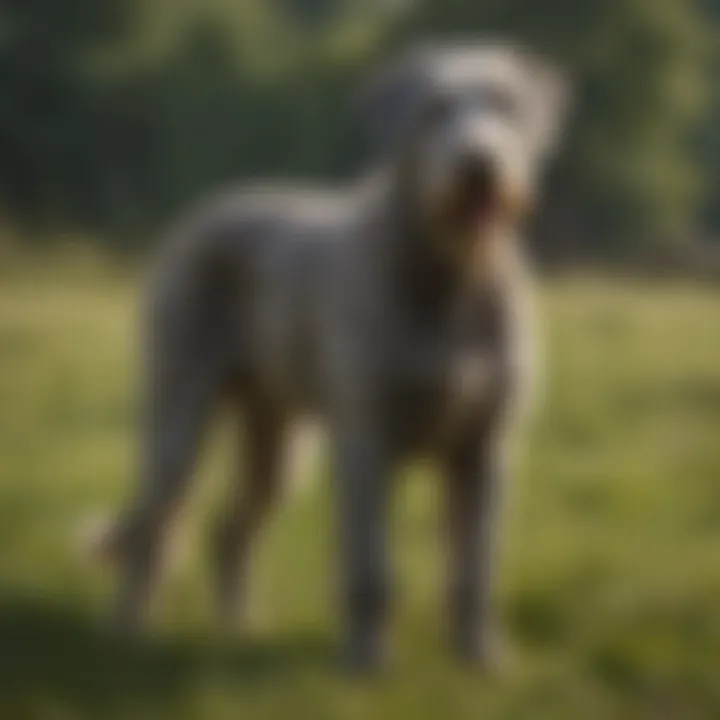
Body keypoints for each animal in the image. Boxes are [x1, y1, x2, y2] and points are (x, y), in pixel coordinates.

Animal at [100, 42, 568, 676]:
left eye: (506, 105)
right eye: (433, 111)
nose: (478, 166)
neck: (452, 275)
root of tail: (206, 208)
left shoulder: (486, 447)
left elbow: (476, 568)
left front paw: (481, 656)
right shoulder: (366, 437)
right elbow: (370, 567)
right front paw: (366, 660)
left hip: (281, 439)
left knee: (230, 529)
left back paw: (239, 628)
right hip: (177, 407)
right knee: (153, 523)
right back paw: (130, 631)